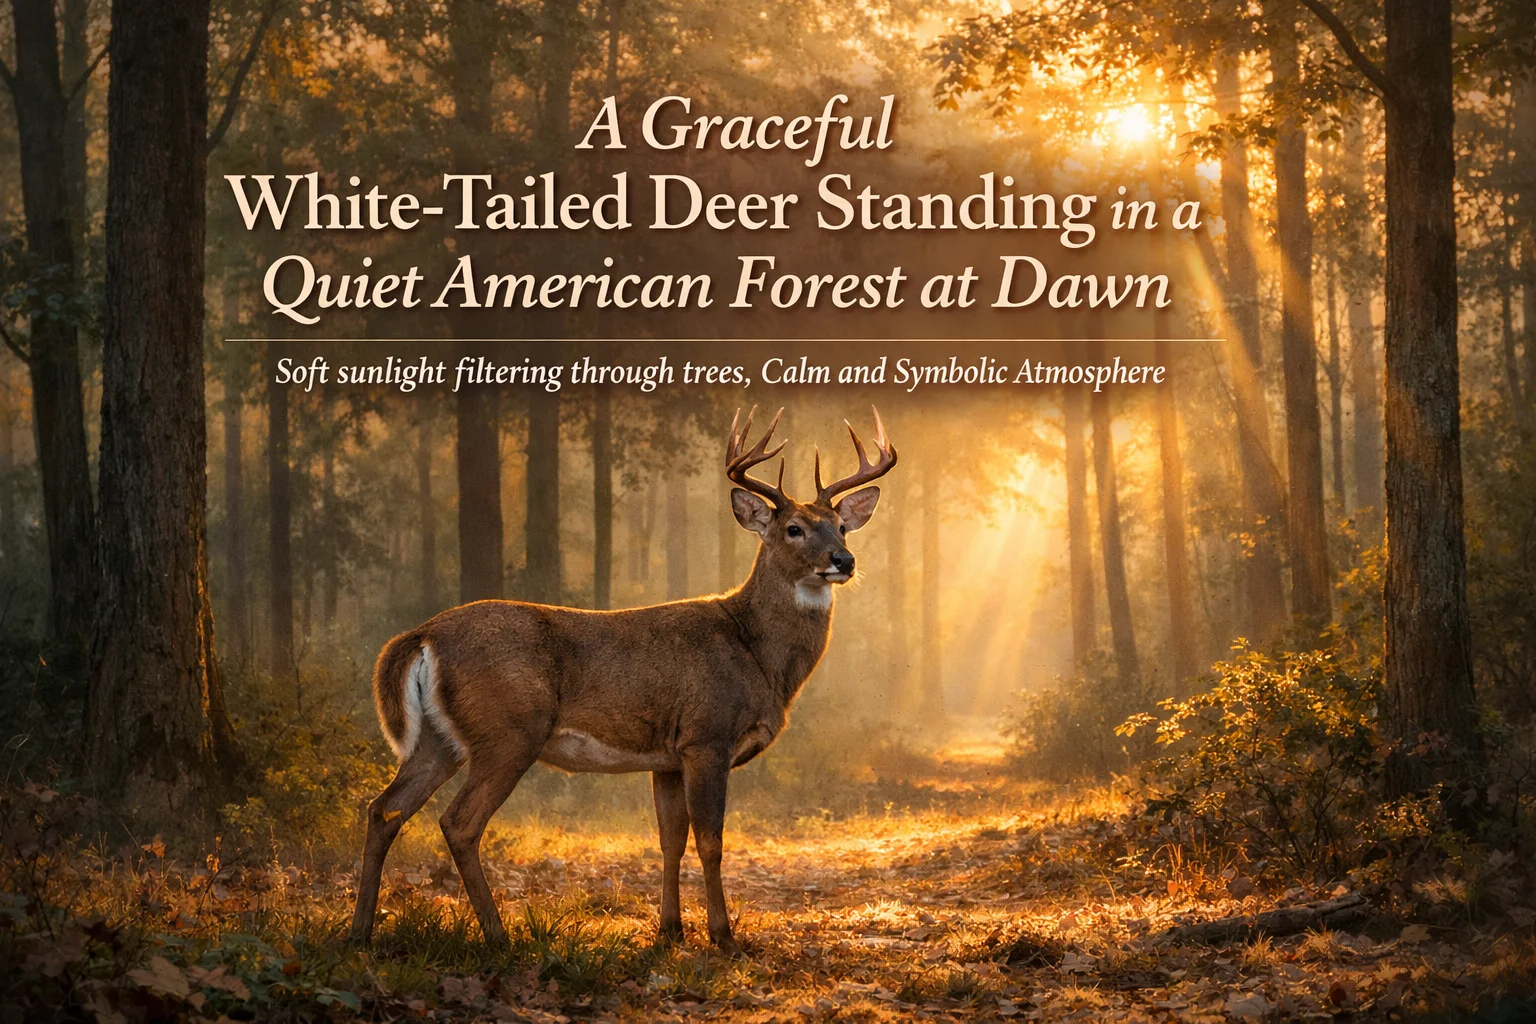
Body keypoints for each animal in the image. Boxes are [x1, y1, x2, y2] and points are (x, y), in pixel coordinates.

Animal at [348, 406, 897, 956]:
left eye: (842, 526)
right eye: (793, 529)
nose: (843, 560)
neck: (756, 654)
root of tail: (422, 634)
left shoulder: (668, 756)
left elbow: (671, 840)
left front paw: (670, 931)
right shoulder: (706, 735)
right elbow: (712, 842)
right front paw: (723, 937)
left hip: (439, 739)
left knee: (383, 810)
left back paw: (359, 933)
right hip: (509, 730)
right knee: (459, 822)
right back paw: (498, 936)